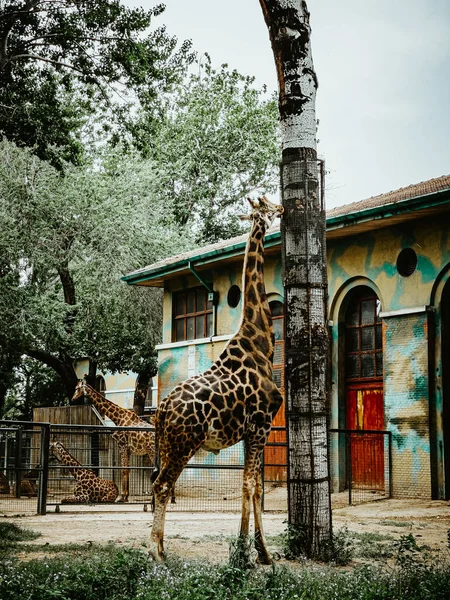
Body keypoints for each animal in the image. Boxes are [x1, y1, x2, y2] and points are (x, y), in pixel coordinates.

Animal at [151, 197, 284, 564]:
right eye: (268, 204)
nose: (283, 209)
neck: (260, 342)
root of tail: (161, 411)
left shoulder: (252, 432)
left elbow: (253, 485)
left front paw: (252, 552)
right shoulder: (261, 425)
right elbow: (251, 485)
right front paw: (254, 553)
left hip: (167, 445)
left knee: (160, 484)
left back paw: (162, 547)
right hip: (183, 445)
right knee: (161, 485)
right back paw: (155, 552)